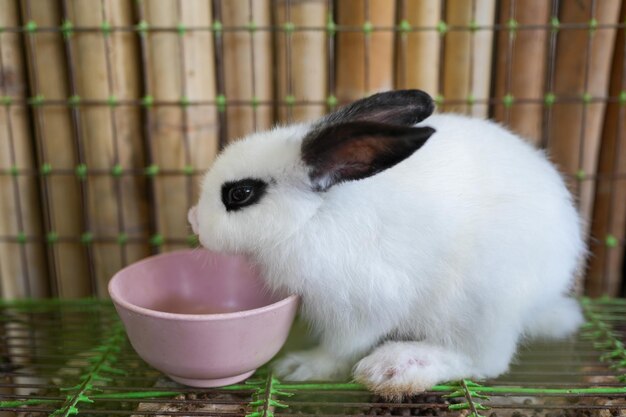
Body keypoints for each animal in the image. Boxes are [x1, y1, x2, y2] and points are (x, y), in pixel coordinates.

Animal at [188, 90, 584, 396]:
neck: (312, 217)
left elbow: (341, 347)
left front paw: (300, 366)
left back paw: (396, 367)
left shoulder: (360, 306)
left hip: (482, 308)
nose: (193, 220)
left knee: (484, 361)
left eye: (240, 194)